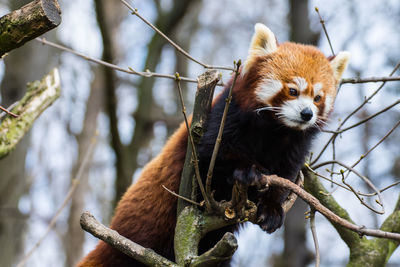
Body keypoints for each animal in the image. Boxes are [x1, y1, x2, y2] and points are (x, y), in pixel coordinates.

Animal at [76, 23, 348, 267]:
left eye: (318, 98)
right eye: (293, 90)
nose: (307, 114)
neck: (275, 131)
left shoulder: (294, 147)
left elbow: (284, 177)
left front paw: (271, 208)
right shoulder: (223, 118)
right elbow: (213, 154)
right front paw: (247, 170)